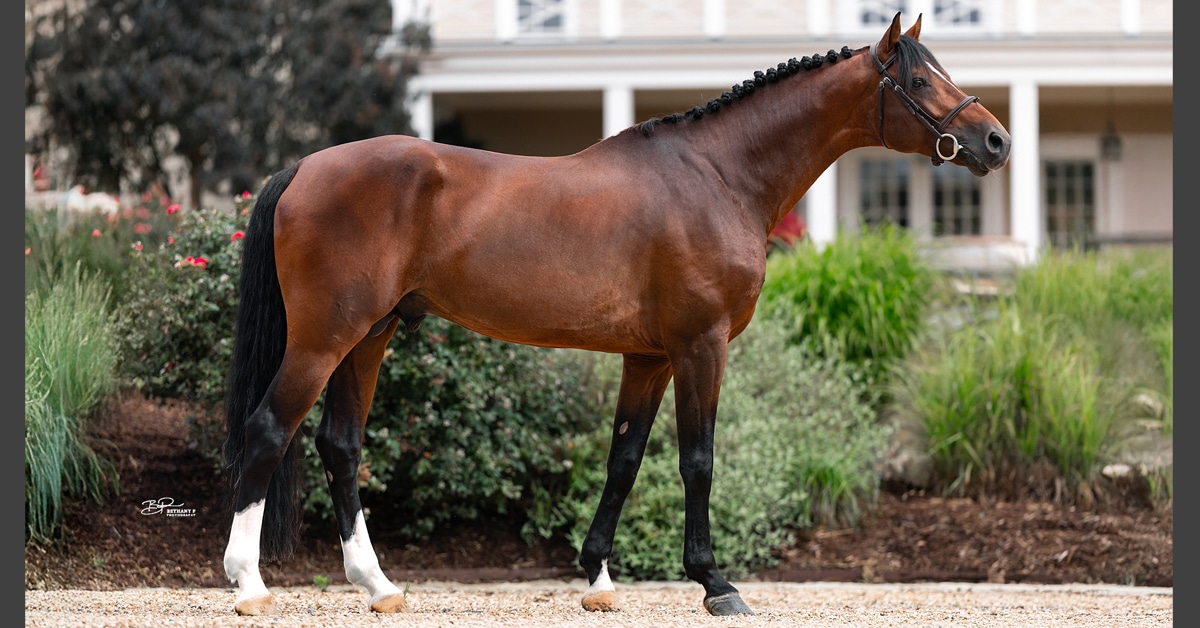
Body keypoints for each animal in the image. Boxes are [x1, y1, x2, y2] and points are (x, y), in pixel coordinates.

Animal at [221, 13, 1010, 617]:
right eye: (918, 80)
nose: (995, 141)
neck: (718, 176)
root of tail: (304, 167)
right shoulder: (701, 347)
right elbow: (697, 460)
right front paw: (715, 583)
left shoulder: (649, 357)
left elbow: (624, 459)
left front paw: (598, 576)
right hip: (324, 339)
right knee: (268, 431)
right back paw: (250, 585)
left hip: (369, 337)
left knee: (340, 446)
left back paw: (378, 586)